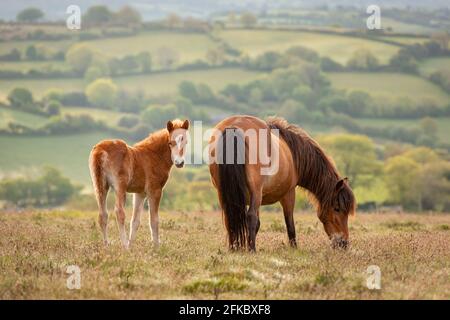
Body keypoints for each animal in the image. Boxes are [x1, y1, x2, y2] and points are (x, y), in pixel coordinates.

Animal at [89, 119, 189, 249]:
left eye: (185, 142)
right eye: (170, 143)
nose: (179, 162)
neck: (153, 156)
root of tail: (100, 150)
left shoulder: (140, 193)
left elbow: (135, 221)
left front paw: (132, 246)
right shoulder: (155, 190)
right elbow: (154, 220)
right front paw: (156, 247)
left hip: (100, 186)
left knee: (103, 215)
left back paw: (107, 246)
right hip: (120, 186)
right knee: (119, 212)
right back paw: (125, 246)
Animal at [209, 115, 356, 252]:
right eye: (337, 208)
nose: (343, 243)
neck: (293, 153)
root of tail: (234, 126)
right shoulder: (288, 194)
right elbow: (289, 223)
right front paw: (294, 249)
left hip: (224, 193)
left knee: (230, 217)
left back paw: (233, 248)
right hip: (255, 192)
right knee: (250, 217)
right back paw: (252, 250)